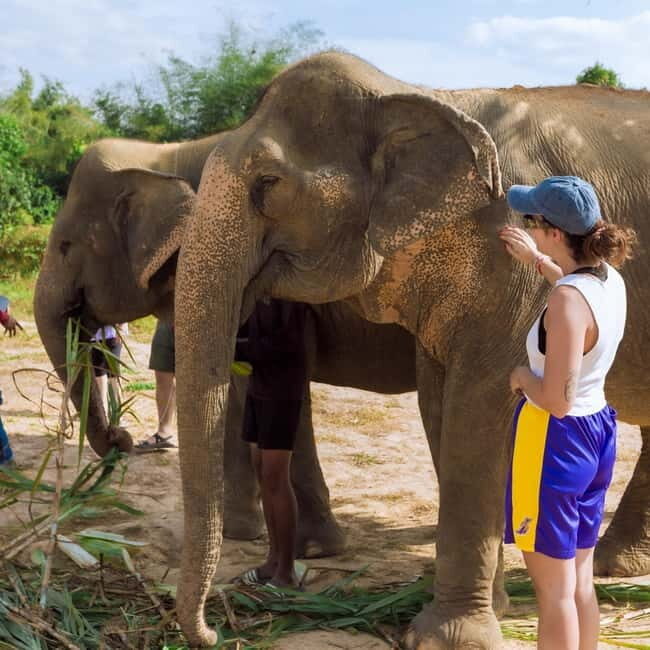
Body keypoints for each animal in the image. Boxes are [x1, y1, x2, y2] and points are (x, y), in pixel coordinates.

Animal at [33, 133, 416, 557]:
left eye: (65, 245)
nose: (122, 439)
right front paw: (238, 531)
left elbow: (276, 385)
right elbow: (230, 394)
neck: (165, 154)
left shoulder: (270, 285)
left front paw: (316, 549)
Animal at [169, 52, 649, 648]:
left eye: (268, 182)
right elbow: (442, 406)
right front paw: (481, 606)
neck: (413, 92)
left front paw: (449, 637)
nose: (215, 630)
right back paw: (615, 565)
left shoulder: (509, 276)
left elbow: (478, 407)